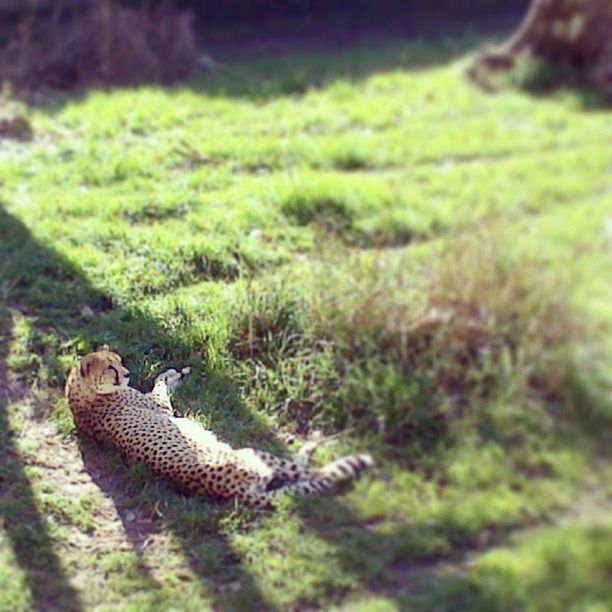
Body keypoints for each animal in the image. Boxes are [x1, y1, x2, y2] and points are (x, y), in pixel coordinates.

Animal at [67, 344, 372, 506]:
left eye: (118, 361)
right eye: (110, 368)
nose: (128, 373)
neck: (79, 391)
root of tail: (231, 493)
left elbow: (163, 382)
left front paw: (179, 373)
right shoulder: (162, 408)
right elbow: (160, 384)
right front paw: (173, 373)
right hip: (253, 454)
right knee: (312, 474)